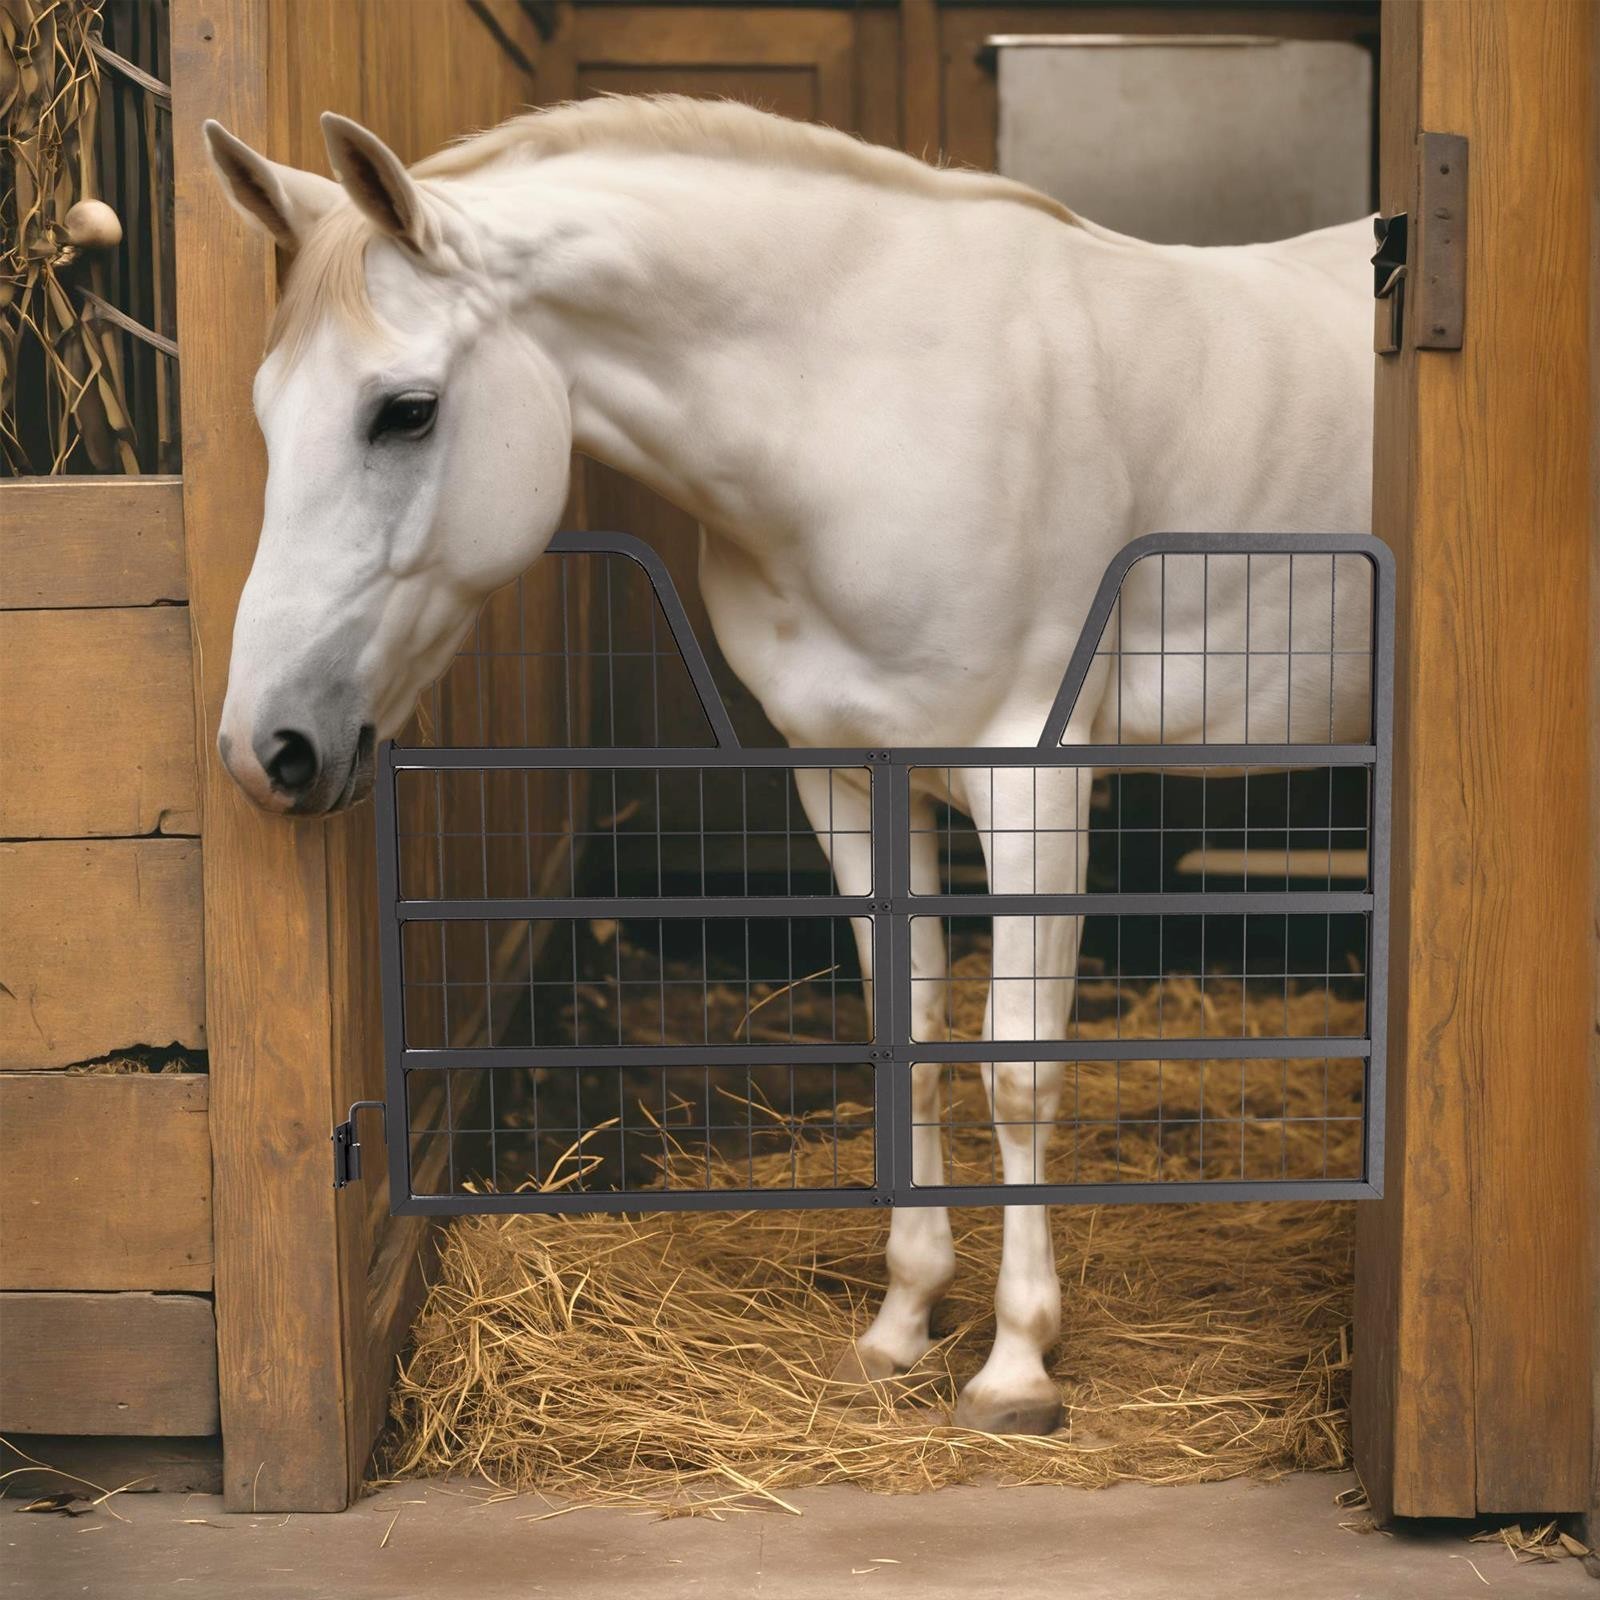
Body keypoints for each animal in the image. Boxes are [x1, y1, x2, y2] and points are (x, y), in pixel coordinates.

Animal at [204, 95, 1373, 1435]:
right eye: (267, 413)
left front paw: (1016, 1367)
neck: (867, 396)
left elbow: (1016, 1068)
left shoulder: (1032, 778)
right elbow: (901, 1024)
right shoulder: (845, 776)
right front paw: (902, 1324)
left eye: (403, 410)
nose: (267, 747)